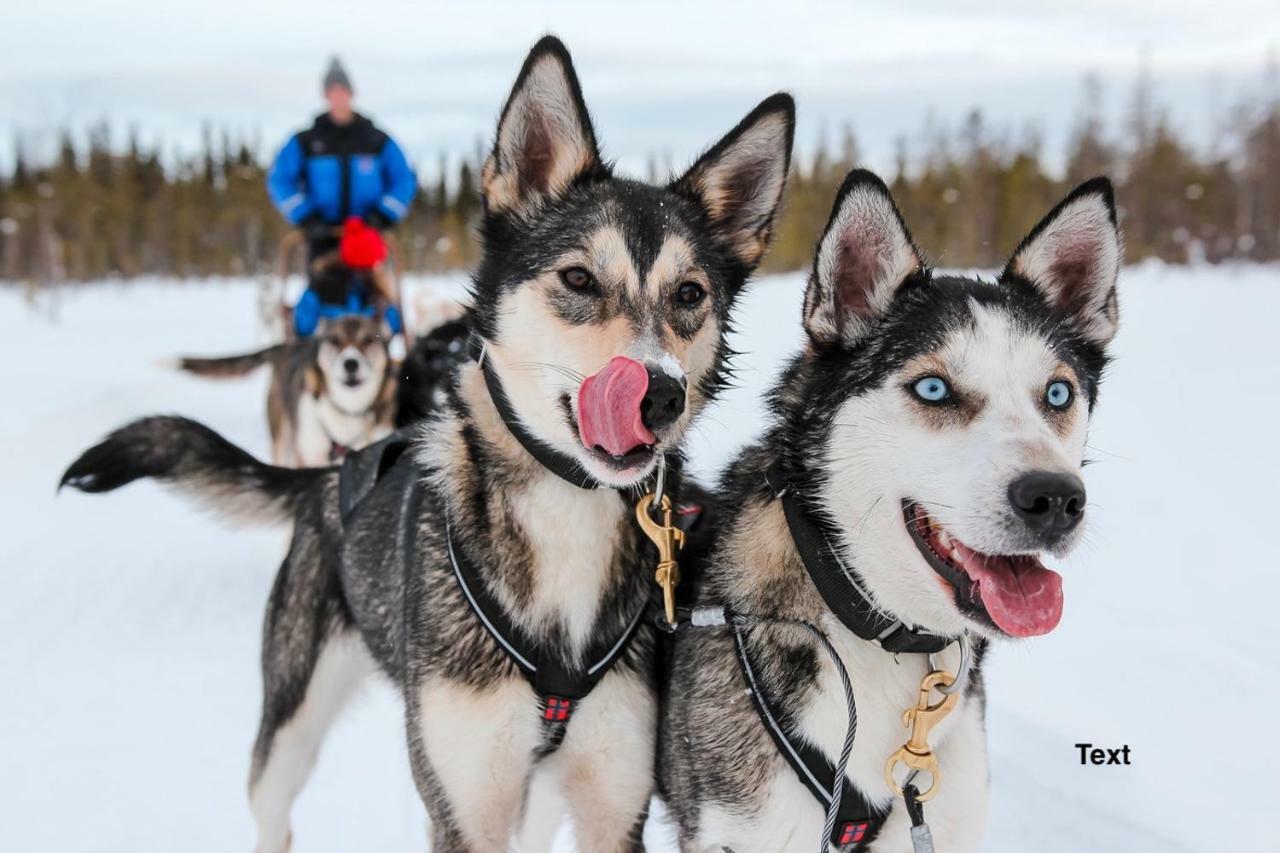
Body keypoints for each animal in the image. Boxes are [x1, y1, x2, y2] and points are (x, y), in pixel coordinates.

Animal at [176, 311, 394, 461]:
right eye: (334, 340)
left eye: (368, 340)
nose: (350, 363)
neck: (347, 409)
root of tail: (284, 346)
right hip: (282, 436)